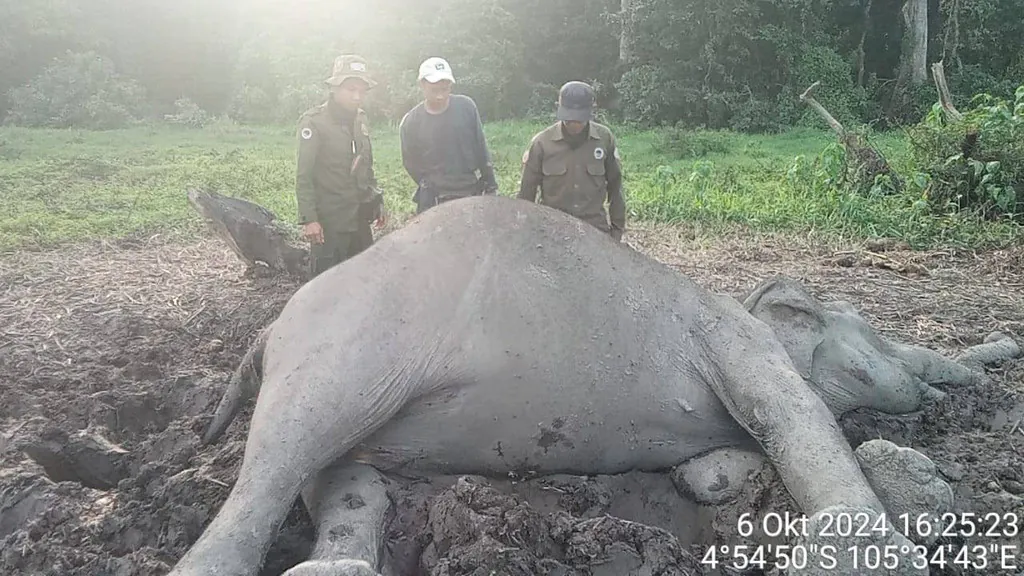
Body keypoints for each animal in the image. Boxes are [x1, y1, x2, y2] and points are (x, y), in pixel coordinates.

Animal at [165, 193, 1015, 573]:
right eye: (868, 328)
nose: (992, 360)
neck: (748, 301)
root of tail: (269, 330)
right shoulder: (736, 341)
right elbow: (795, 413)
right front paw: (883, 555)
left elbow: (716, 465)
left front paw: (717, 480)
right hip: (346, 350)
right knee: (284, 461)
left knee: (340, 476)